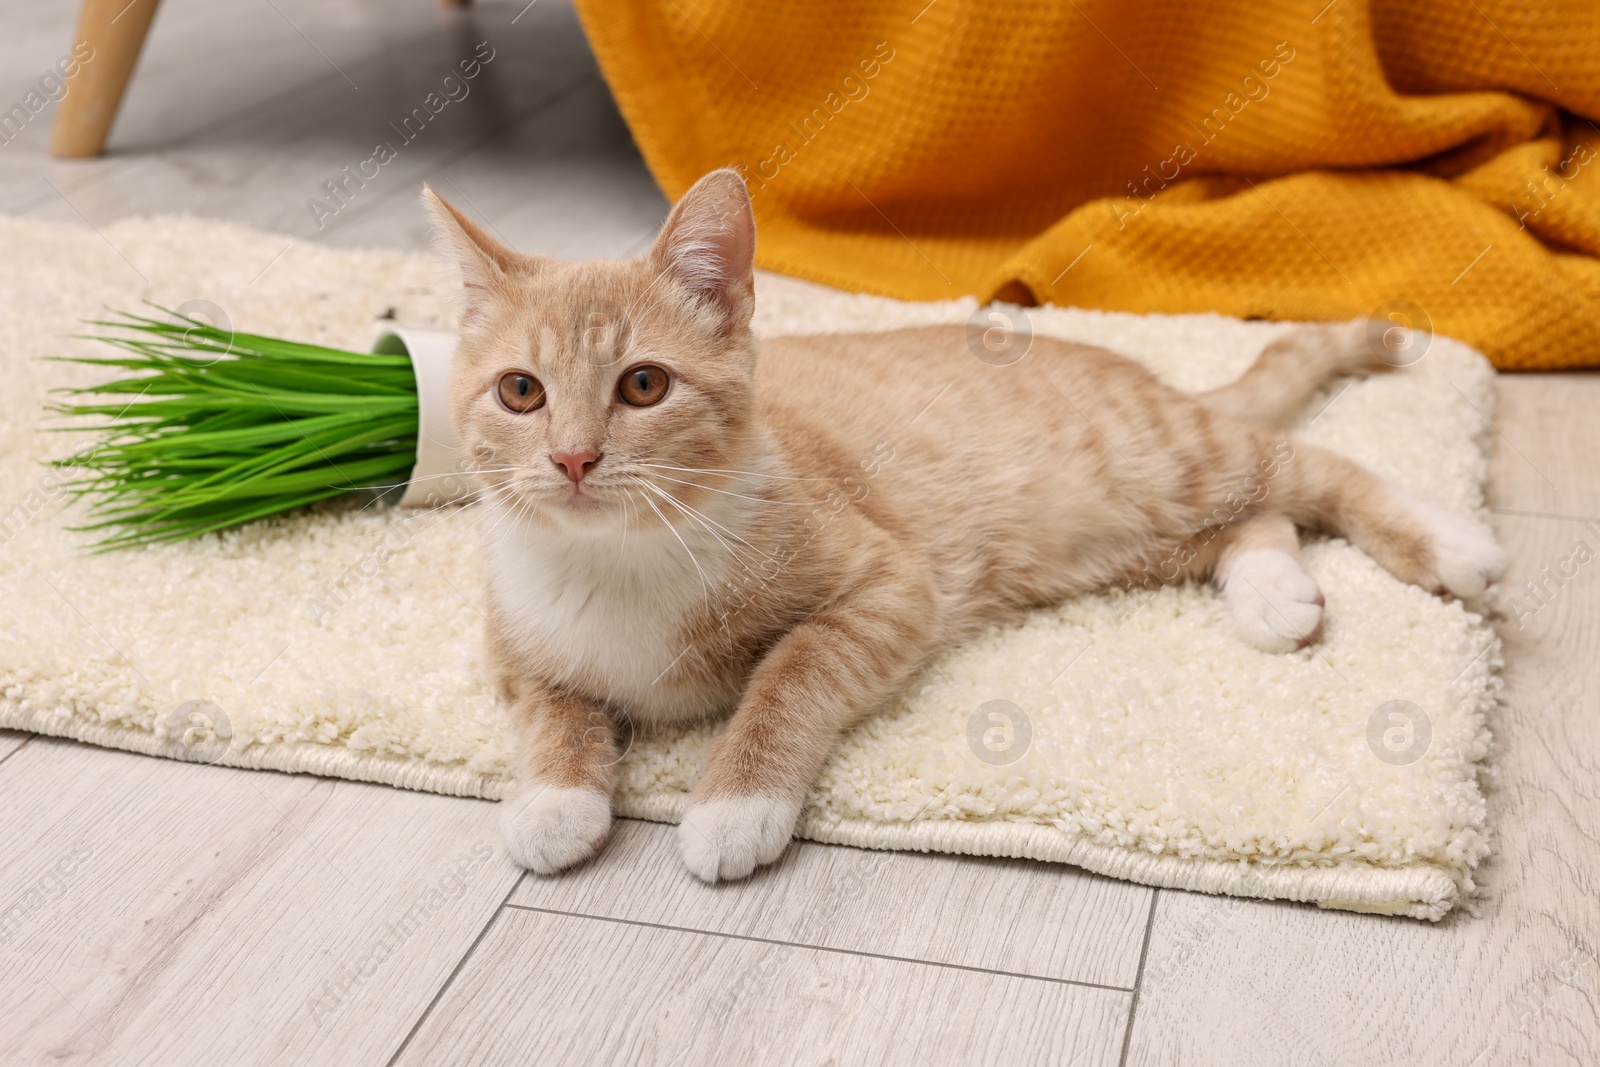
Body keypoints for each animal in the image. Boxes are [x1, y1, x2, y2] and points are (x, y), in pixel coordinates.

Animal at [419, 168, 1504, 883]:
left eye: (643, 385)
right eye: (521, 391)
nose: (572, 459)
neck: (621, 561)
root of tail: (1139, 375)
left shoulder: (891, 584)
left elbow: (787, 675)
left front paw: (734, 800)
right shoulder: (510, 644)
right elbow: (551, 708)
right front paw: (555, 796)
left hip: (1158, 465)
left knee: (1306, 469)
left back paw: (1450, 541)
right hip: (1115, 538)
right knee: (1259, 517)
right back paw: (1274, 594)